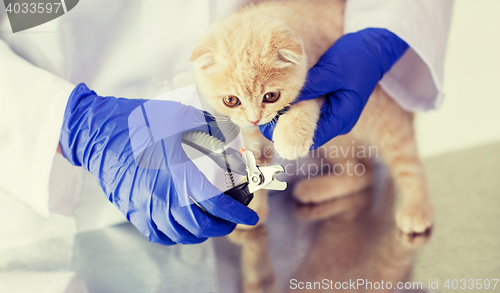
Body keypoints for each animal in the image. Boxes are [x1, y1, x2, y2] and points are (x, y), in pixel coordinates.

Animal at [189, 0, 432, 233]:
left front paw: (290, 138)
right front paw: (253, 208)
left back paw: (416, 208)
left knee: (407, 162)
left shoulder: (320, 80)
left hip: (385, 120)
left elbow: (303, 105)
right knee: (364, 172)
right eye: (231, 100)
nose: (254, 119)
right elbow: (256, 161)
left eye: (271, 96)